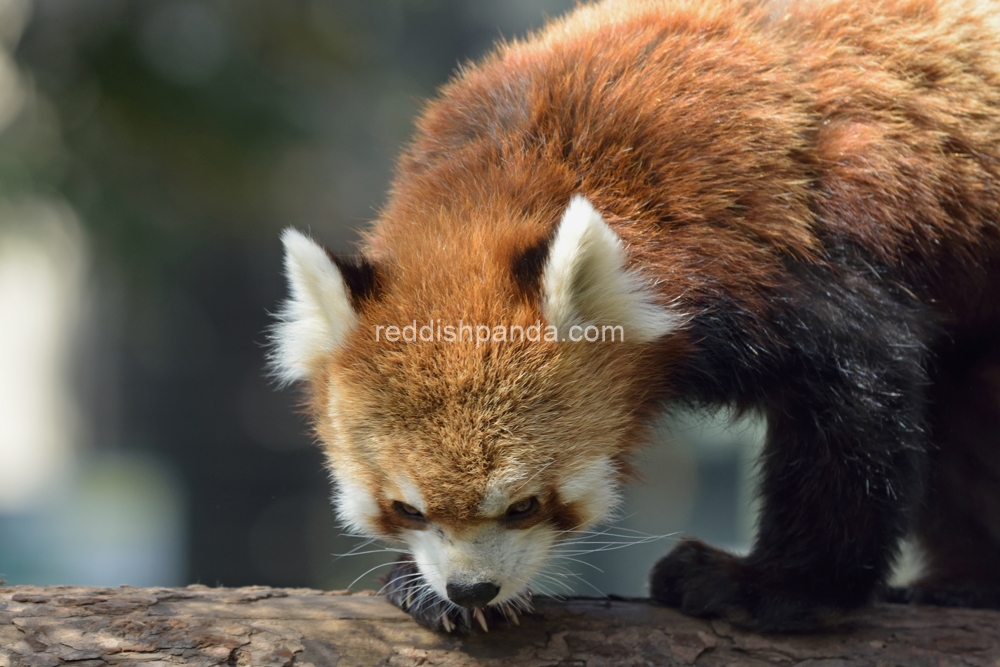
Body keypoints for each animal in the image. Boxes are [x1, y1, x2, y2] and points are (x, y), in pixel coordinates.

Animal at [270, 0, 1000, 636]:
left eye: (524, 504)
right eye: (407, 508)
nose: (471, 587)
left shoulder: (771, 255)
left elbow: (859, 395)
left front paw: (774, 589)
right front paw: (420, 587)